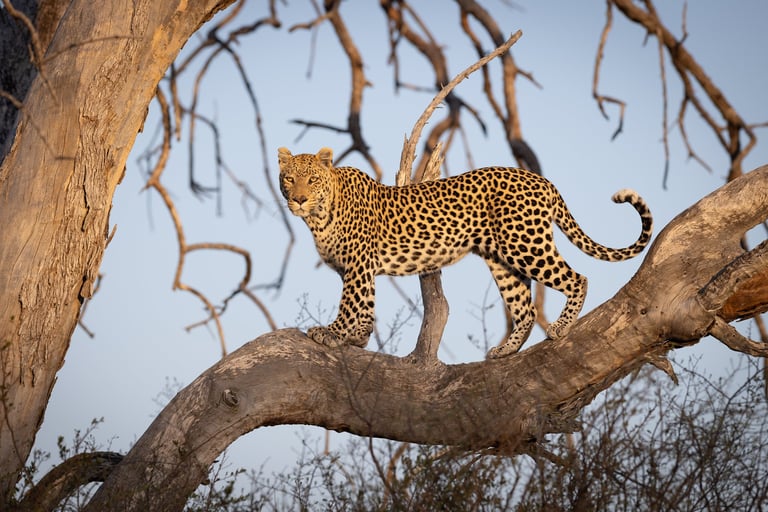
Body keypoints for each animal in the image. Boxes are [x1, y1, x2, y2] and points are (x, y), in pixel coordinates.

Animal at [278, 147, 653, 358]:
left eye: (312, 179)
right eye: (289, 178)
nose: (298, 199)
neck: (319, 216)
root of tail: (541, 180)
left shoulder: (357, 264)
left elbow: (349, 302)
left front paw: (332, 333)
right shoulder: (360, 268)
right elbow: (366, 303)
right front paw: (358, 338)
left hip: (525, 243)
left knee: (577, 278)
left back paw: (561, 326)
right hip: (501, 259)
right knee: (526, 308)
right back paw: (505, 350)